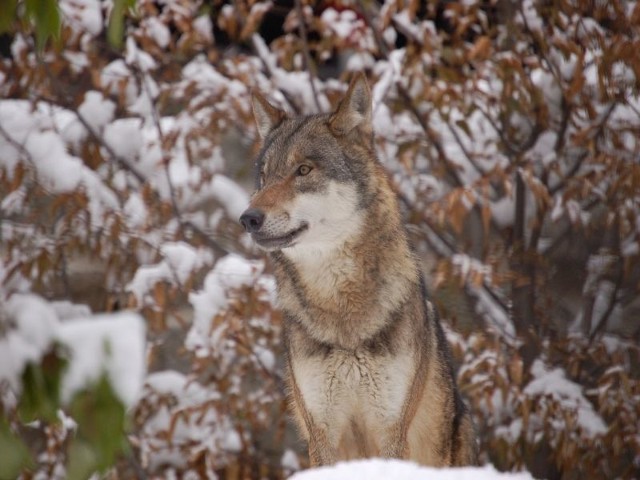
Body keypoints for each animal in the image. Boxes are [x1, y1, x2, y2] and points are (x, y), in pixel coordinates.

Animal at [239, 73, 476, 466]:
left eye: (303, 170)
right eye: (264, 176)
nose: (248, 219)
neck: (341, 313)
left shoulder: (391, 431)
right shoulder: (322, 434)